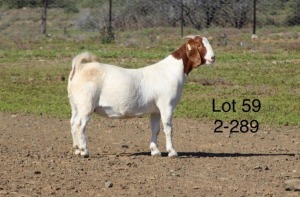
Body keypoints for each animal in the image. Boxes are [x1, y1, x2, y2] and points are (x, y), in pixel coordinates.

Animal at [67, 35, 214, 157]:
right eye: (199, 45)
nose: (213, 57)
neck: (171, 71)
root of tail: (80, 67)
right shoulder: (167, 105)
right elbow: (168, 128)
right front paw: (172, 152)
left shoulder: (155, 110)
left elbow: (155, 129)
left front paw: (155, 151)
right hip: (86, 104)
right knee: (80, 125)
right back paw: (84, 151)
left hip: (75, 105)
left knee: (73, 123)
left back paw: (76, 150)